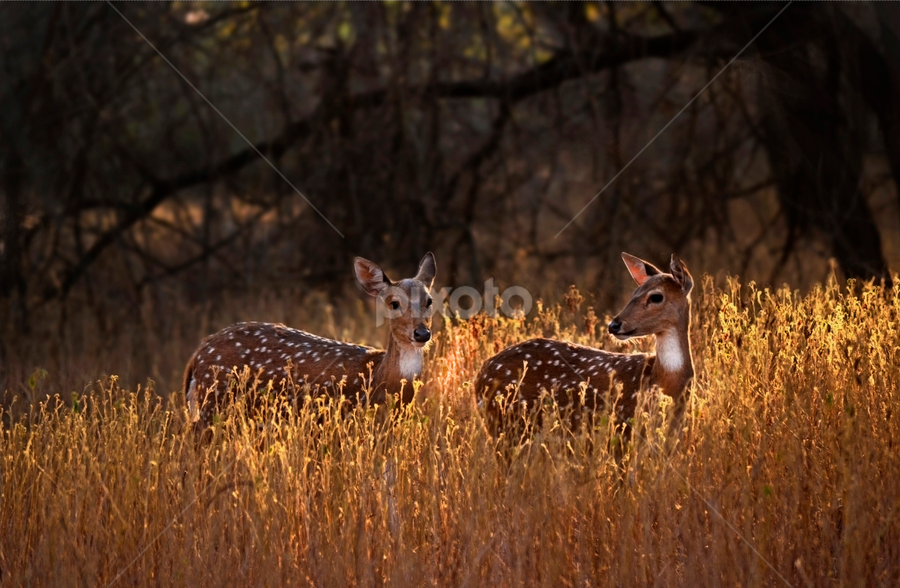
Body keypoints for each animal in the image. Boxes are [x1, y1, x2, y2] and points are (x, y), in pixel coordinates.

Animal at [183, 253, 437, 427]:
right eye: (394, 303)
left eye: (429, 300)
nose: (422, 334)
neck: (377, 380)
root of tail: (198, 352)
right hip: (213, 403)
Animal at [474, 253, 694, 434]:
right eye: (634, 293)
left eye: (656, 296)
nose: (614, 325)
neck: (666, 383)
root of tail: (481, 373)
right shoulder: (623, 427)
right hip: (506, 424)